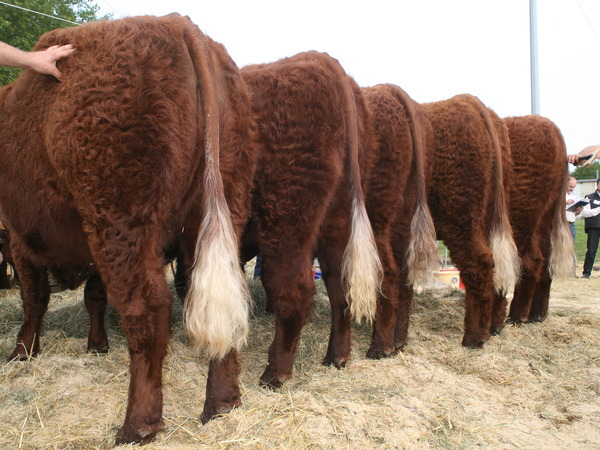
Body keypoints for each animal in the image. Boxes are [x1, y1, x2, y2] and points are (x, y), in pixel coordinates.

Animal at [0, 14, 258, 442]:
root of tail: (175, 23)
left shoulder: (20, 241)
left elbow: (34, 299)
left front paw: (22, 351)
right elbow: (93, 297)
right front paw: (96, 345)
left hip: (120, 224)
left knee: (148, 310)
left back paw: (137, 425)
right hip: (218, 208)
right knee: (223, 298)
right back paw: (222, 404)